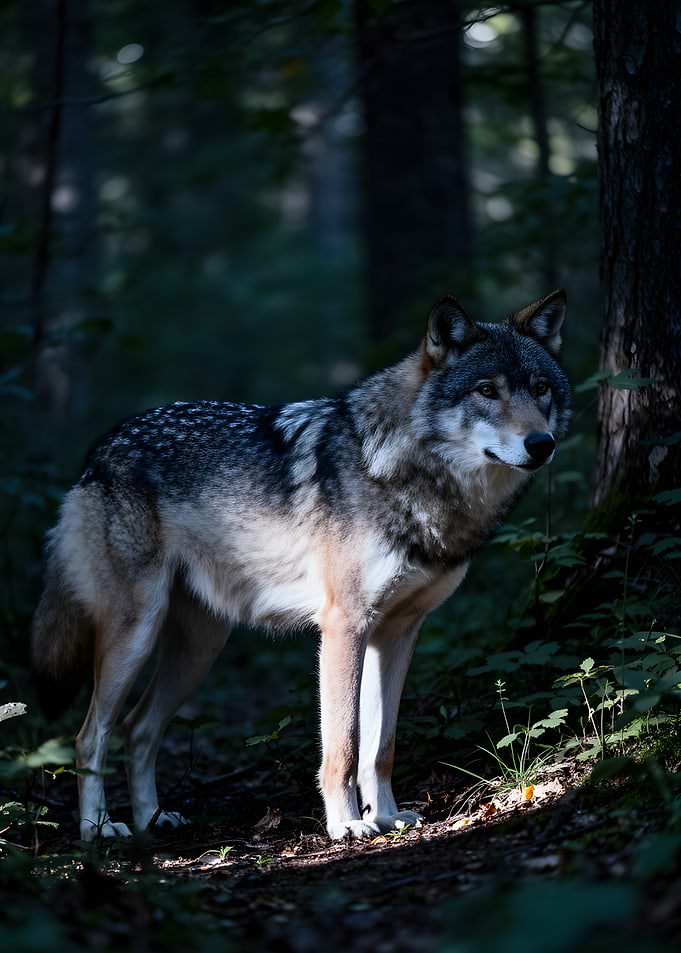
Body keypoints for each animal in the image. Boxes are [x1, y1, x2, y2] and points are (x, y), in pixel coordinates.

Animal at [31, 289, 570, 842]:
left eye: (540, 389)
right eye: (487, 391)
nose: (541, 444)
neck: (402, 471)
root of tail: (99, 450)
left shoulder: (398, 633)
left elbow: (382, 746)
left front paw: (387, 816)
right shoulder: (343, 627)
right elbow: (344, 745)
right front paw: (347, 824)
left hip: (200, 649)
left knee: (138, 729)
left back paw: (152, 819)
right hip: (136, 634)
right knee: (89, 734)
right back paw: (99, 827)